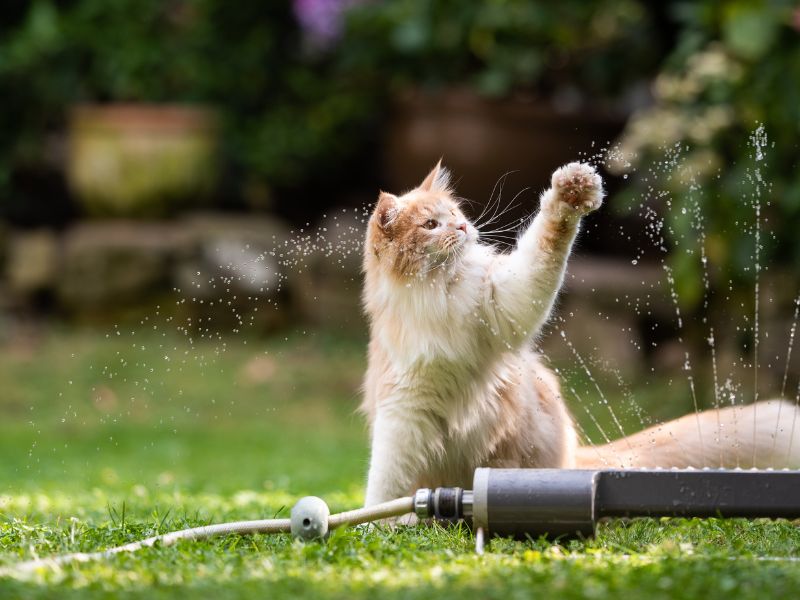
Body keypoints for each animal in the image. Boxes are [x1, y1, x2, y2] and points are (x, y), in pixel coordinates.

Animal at [360, 161, 800, 506]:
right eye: (431, 225)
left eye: (454, 213)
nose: (464, 227)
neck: (443, 294)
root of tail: (575, 456)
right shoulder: (403, 409)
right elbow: (384, 482)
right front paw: (379, 524)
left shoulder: (505, 302)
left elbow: (547, 244)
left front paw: (569, 195)